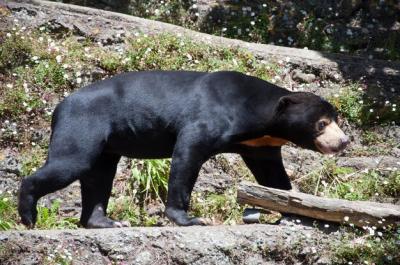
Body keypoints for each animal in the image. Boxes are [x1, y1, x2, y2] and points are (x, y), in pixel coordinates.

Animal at [18, 70, 348, 227]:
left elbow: (273, 177)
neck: (259, 118)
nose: (343, 141)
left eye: (336, 119)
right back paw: (29, 216)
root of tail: (59, 106)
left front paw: (294, 209)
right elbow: (187, 155)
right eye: (322, 123)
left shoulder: (259, 145)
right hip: (84, 125)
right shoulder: (208, 119)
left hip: (107, 144)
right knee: (71, 162)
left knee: (99, 177)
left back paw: (106, 222)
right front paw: (188, 218)